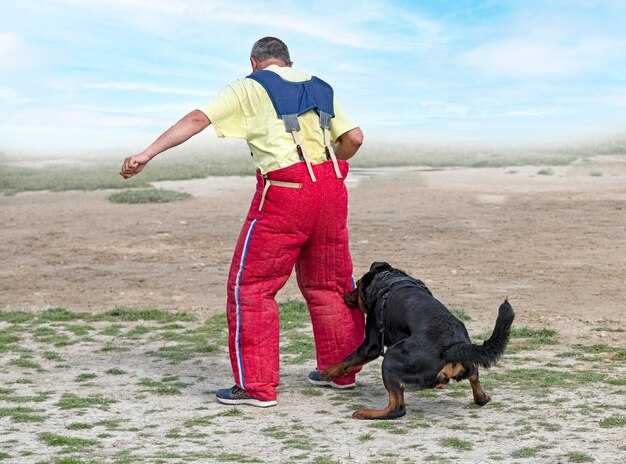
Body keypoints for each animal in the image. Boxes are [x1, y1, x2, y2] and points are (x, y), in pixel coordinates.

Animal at [322, 262, 512, 418]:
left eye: (358, 286)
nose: (346, 294)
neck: (387, 280)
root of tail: (453, 345)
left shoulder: (372, 344)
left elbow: (347, 360)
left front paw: (327, 372)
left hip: (391, 359)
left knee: (397, 408)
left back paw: (366, 412)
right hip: (468, 365)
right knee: (477, 387)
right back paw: (477, 394)